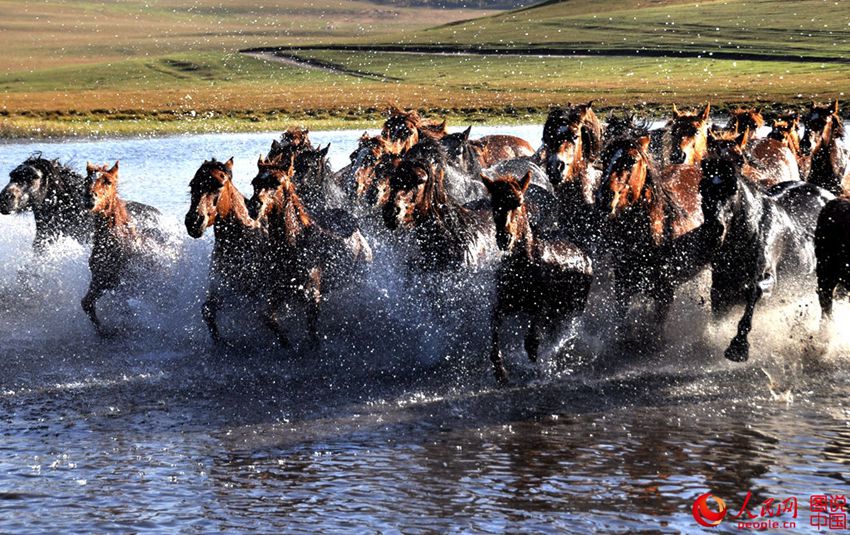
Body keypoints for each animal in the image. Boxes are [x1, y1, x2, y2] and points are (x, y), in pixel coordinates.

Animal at [80, 161, 163, 332]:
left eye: (108, 182)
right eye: (86, 181)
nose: (90, 198)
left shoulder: (123, 284)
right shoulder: (101, 280)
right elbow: (87, 303)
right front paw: (103, 331)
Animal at [250, 155, 372, 348]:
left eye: (277, 182)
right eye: (254, 182)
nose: (254, 207)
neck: (294, 245)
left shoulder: (312, 294)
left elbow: (312, 330)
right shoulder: (279, 290)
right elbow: (268, 318)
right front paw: (286, 342)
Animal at [480, 172, 592, 386]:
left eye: (518, 202)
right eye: (494, 203)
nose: (504, 238)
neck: (522, 268)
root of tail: (584, 255)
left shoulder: (542, 306)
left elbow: (532, 341)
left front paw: (538, 366)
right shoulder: (503, 303)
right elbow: (494, 330)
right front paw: (501, 373)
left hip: (572, 308)